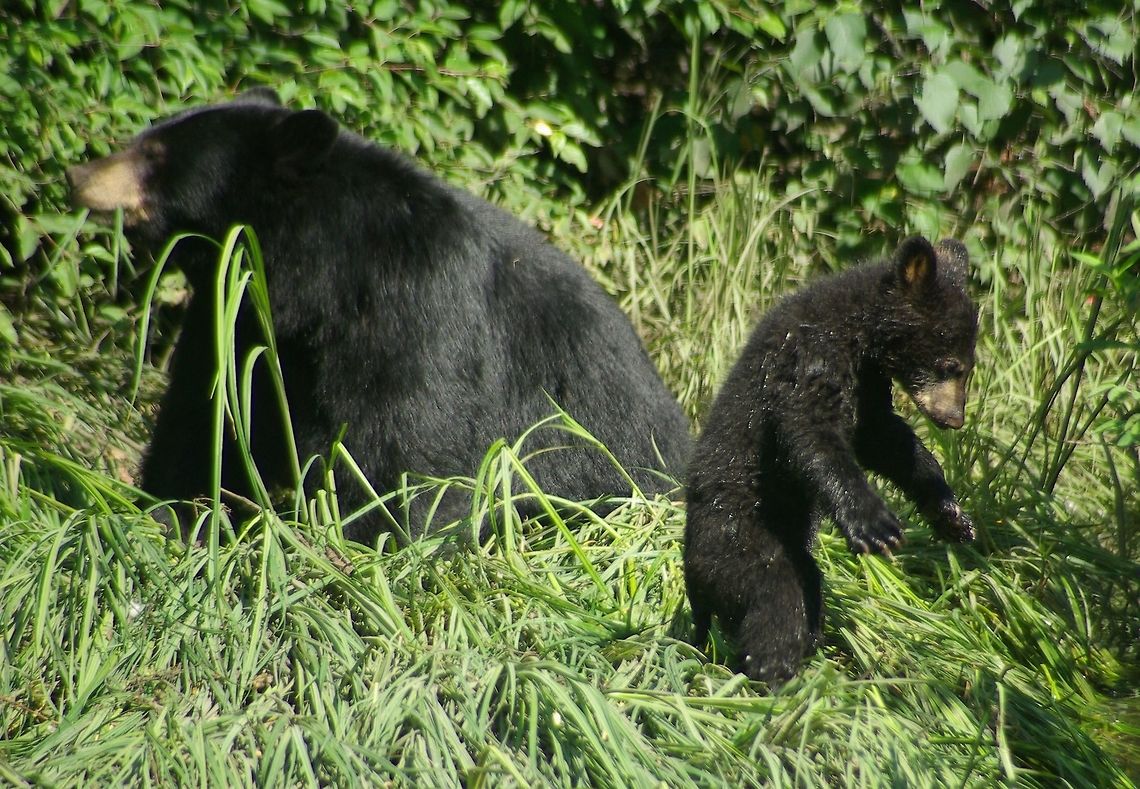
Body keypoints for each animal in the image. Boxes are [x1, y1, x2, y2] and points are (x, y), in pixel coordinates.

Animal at [67, 88, 691, 543]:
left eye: (156, 154)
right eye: (147, 137)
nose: (80, 175)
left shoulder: (413, 301)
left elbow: (405, 433)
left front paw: (375, 541)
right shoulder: (237, 309)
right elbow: (207, 411)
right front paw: (171, 512)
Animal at [684, 236, 978, 686]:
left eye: (969, 367)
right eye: (951, 365)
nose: (954, 419)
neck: (857, 330)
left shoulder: (869, 383)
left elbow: (883, 439)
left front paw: (950, 513)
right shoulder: (808, 356)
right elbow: (809, 432)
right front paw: (875, 524)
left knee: (807, 588)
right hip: (739, 536)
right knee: (776, 597)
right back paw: (778, 677)